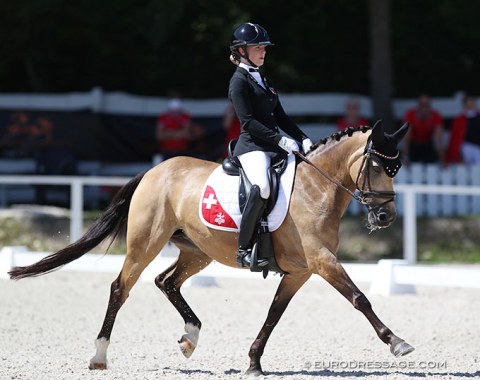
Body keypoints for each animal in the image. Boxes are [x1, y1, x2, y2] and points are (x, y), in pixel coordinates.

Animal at [9, 121, 412, 374]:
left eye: (396, 169)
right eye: (378, 166)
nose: (386, 216)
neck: (316, 188)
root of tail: (154, 171)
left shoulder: (301, 270)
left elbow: (274, 313)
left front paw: (253, 363)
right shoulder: (323, 261)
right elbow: (360, 298)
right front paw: (397, 342)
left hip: (197, 251)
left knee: (166, 282)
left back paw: (190, 337)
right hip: (146, 243)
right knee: (121, 287)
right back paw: (99, 356)